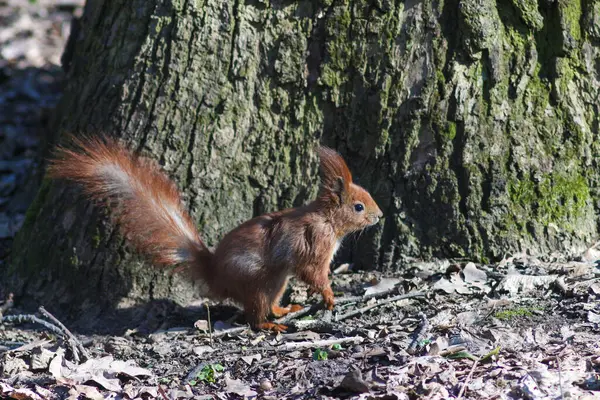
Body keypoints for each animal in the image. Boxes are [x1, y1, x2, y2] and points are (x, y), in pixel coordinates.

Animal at [49, 137, 382, 332]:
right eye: (358, 206)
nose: (380, 215)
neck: (328, 220)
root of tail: (215, 275)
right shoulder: (315, 242)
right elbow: (313, 273)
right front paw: (328, 295)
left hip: (276, 281)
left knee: (267, 304)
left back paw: (283, 308)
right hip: (256, 281)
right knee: (254, 316)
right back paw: (270, 325)